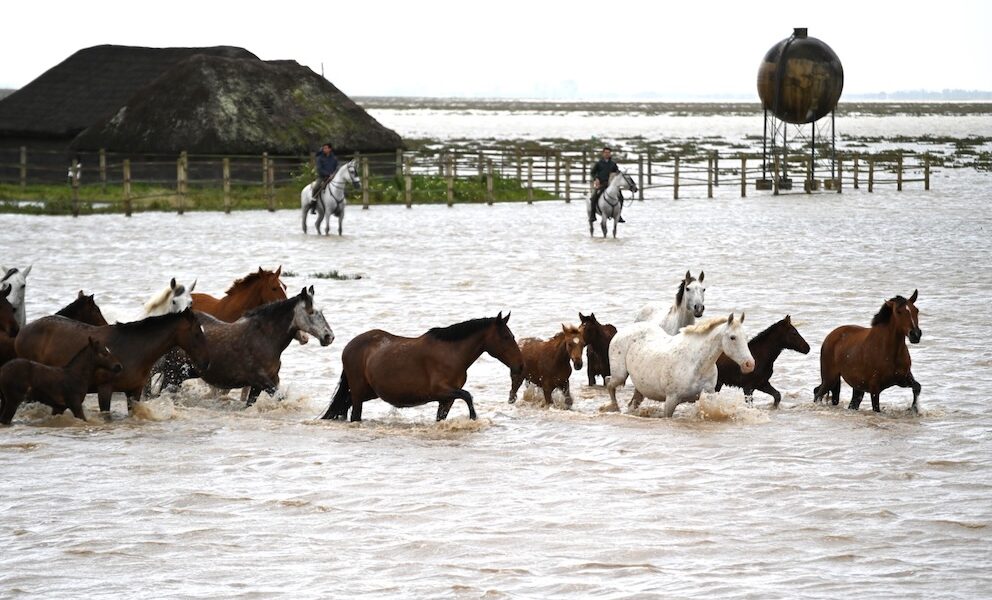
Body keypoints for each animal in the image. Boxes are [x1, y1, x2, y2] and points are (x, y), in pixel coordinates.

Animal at [14, 308, 210, 413]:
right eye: (197, 333)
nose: (206, 362)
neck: (135, 348)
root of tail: (22, 332)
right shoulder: (105, 389)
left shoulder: (134, 391)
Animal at [151, 287, 334, 406]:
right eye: (311, 312)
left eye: (322, 311)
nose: (329, 337)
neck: (265, 338)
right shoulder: (262, 381)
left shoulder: (263, 383)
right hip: (173, 374)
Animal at [321, 312, 524, 422]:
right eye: (506, 337)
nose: (520, 366)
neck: (452, 353)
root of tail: (349, 346)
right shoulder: (442, 390)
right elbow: (468, 396)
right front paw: (474, 418)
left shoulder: (447, 398)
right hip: (358, 392)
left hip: (368, 392)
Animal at [607, 314, 755, 417]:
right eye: (732, 337)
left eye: (746, 337)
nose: (749, 364)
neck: (697, 365)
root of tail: (622, 332)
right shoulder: (671, 399)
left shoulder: (709, 395)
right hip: (620, 375)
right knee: (609, 382)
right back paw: (614, 407)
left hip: (640, 388)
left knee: (632, 403)